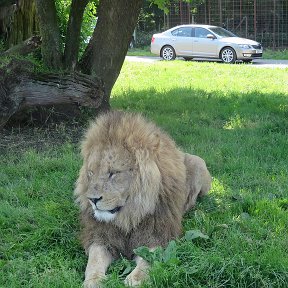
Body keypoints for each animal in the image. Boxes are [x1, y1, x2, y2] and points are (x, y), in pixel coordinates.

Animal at [75, 109, 212, 286]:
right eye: (91, 173)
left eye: (114, 173)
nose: (92, 200)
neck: (129, 215)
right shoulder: (101, 235)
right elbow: (94, 260)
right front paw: (93, 280)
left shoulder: (158, 235)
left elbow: (149, 258)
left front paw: (135, 279)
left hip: (198, 163)